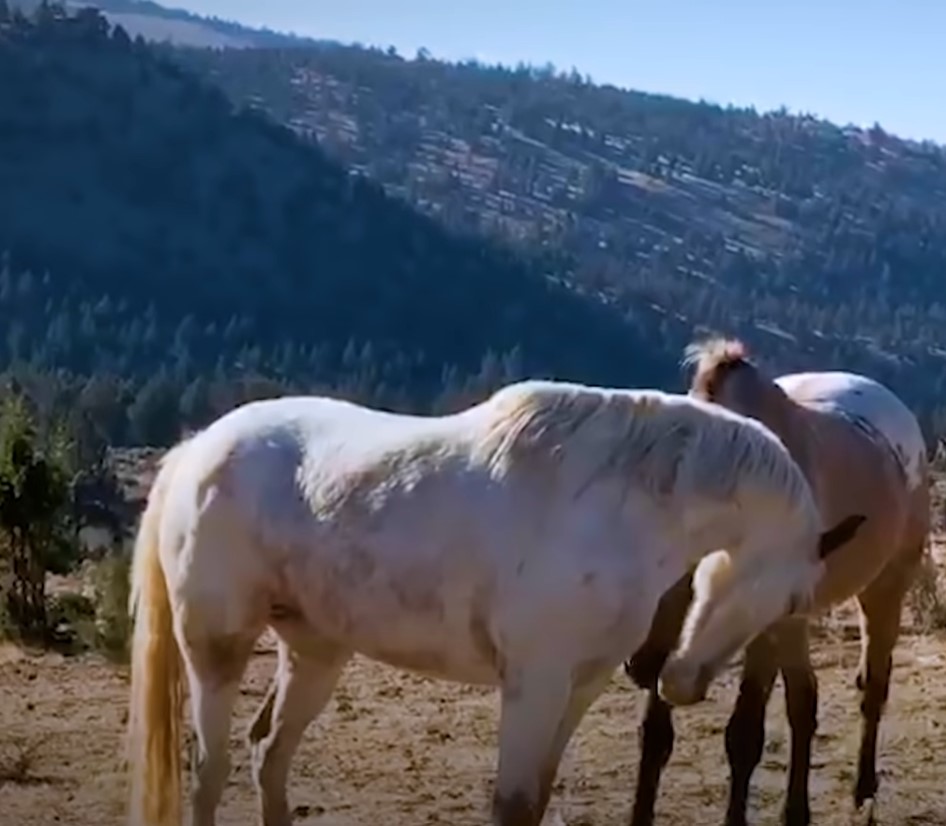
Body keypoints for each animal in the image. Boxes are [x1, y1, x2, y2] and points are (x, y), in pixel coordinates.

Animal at [125, 380, 864, 824]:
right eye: (793, 596)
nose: (681, 684)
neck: (617, 504)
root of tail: (198, 449)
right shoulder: (534, 682)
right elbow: (511, 803)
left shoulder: (581, 683)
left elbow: (535, 798)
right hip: (215, 646)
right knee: (210, 769)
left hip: (315, 652)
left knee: (269, 755)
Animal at [624, 336, 924, 824]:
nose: (640, 661)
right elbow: (655, 738)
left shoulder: (762, 625)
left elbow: (744, 736)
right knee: (806, 700)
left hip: (885, 589)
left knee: (872, 687)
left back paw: (862, 789)